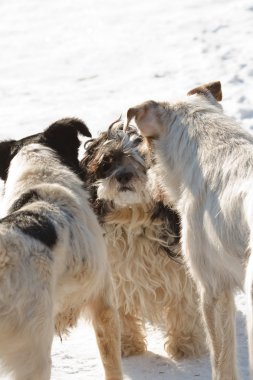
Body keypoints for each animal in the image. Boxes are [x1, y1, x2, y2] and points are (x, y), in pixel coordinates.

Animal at [82, 120, 207, 360]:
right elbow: (121, 313)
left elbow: (183, 306)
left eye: (144, 160)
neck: (134, 217)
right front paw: (125, 346)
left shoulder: (179, 273)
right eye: (108, 161)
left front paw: (184, 346)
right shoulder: (116, 275)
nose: (123, 176)